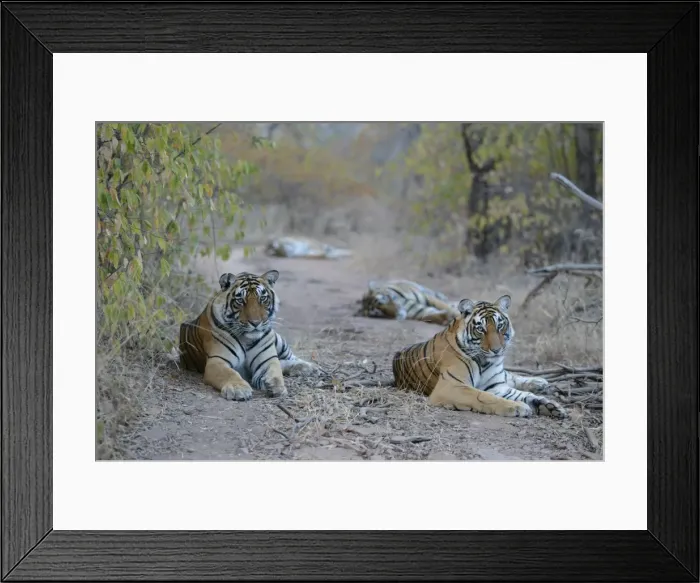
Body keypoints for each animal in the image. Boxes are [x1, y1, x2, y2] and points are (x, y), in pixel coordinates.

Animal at [178, 269, 318, 401]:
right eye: (240, 300)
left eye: (262, 298)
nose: (255, 323)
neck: (246, 339)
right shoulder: (217, 361)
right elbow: (230, 373)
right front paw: (238, 389)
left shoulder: (268, 360)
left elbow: (276, 370)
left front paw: (276, 386)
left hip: (278, 340)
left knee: (289, 357)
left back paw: (310, 367)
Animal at [391, 294, 568, 418]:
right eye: (481, 329)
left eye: (500, 326)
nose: (497, 350)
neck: (485, 362)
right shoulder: (450, 386)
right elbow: (484, 396)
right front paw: (518, 407)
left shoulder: (496, 385)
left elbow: (524, 395)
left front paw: (549, 405)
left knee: (511, 376)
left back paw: (539, 382)